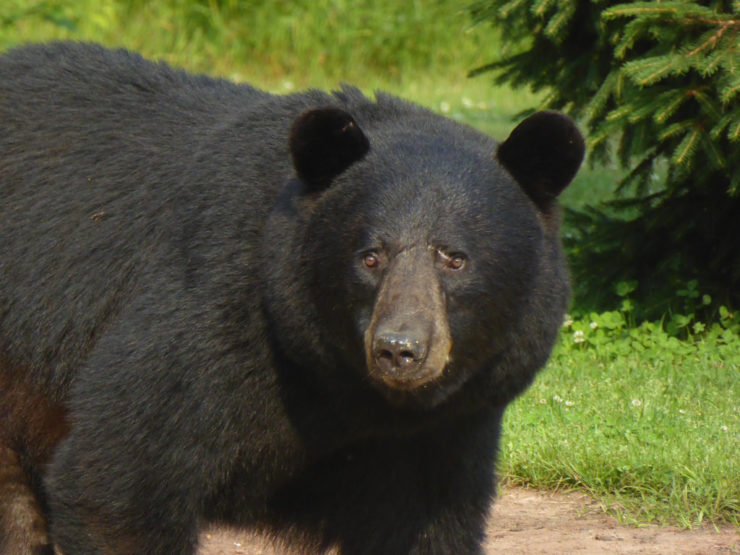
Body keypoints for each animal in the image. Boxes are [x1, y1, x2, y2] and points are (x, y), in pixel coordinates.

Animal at [0, 41, 584, 554]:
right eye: (370, 256)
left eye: (454, 258)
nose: (399, 350)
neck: (351, 391)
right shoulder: (212, 320)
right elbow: (119, 477)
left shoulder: (446, 430)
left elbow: (429, 525)